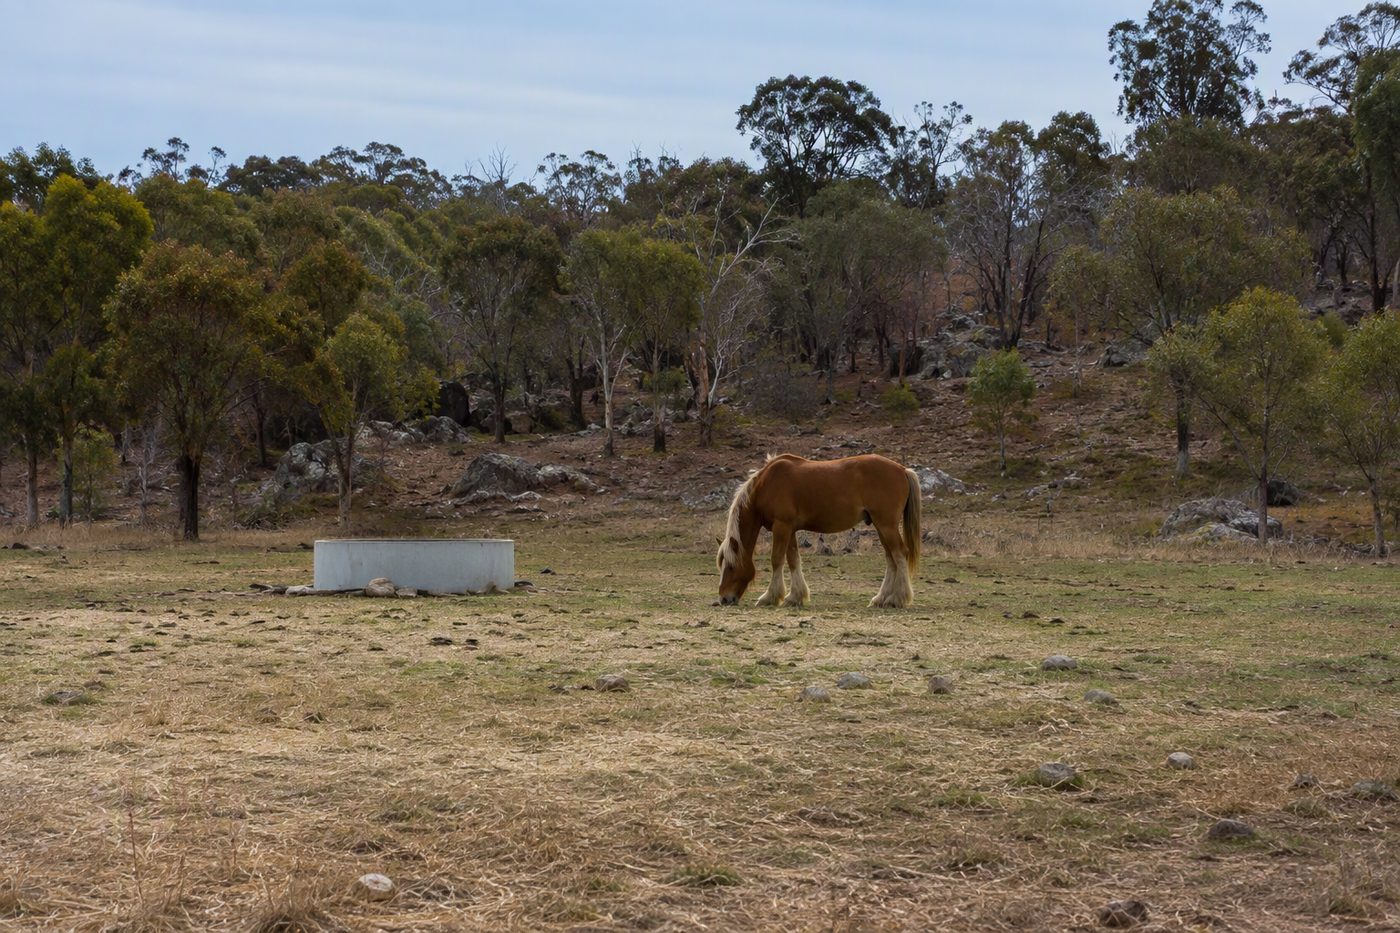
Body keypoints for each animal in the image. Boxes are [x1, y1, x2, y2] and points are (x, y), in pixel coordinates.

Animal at [716, 453, 922, 608]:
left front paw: (770, 597)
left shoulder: (781, 527)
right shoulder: (789, 529)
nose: (724, 598)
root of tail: (902, 469)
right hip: (881, 526)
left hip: (886, 525)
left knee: (899, 554)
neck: (767, 484)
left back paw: (897, 599)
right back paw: (880, 598)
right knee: (891, 558)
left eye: (731, 566)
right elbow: (793, 560)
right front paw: (795, 597)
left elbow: (777, 560)